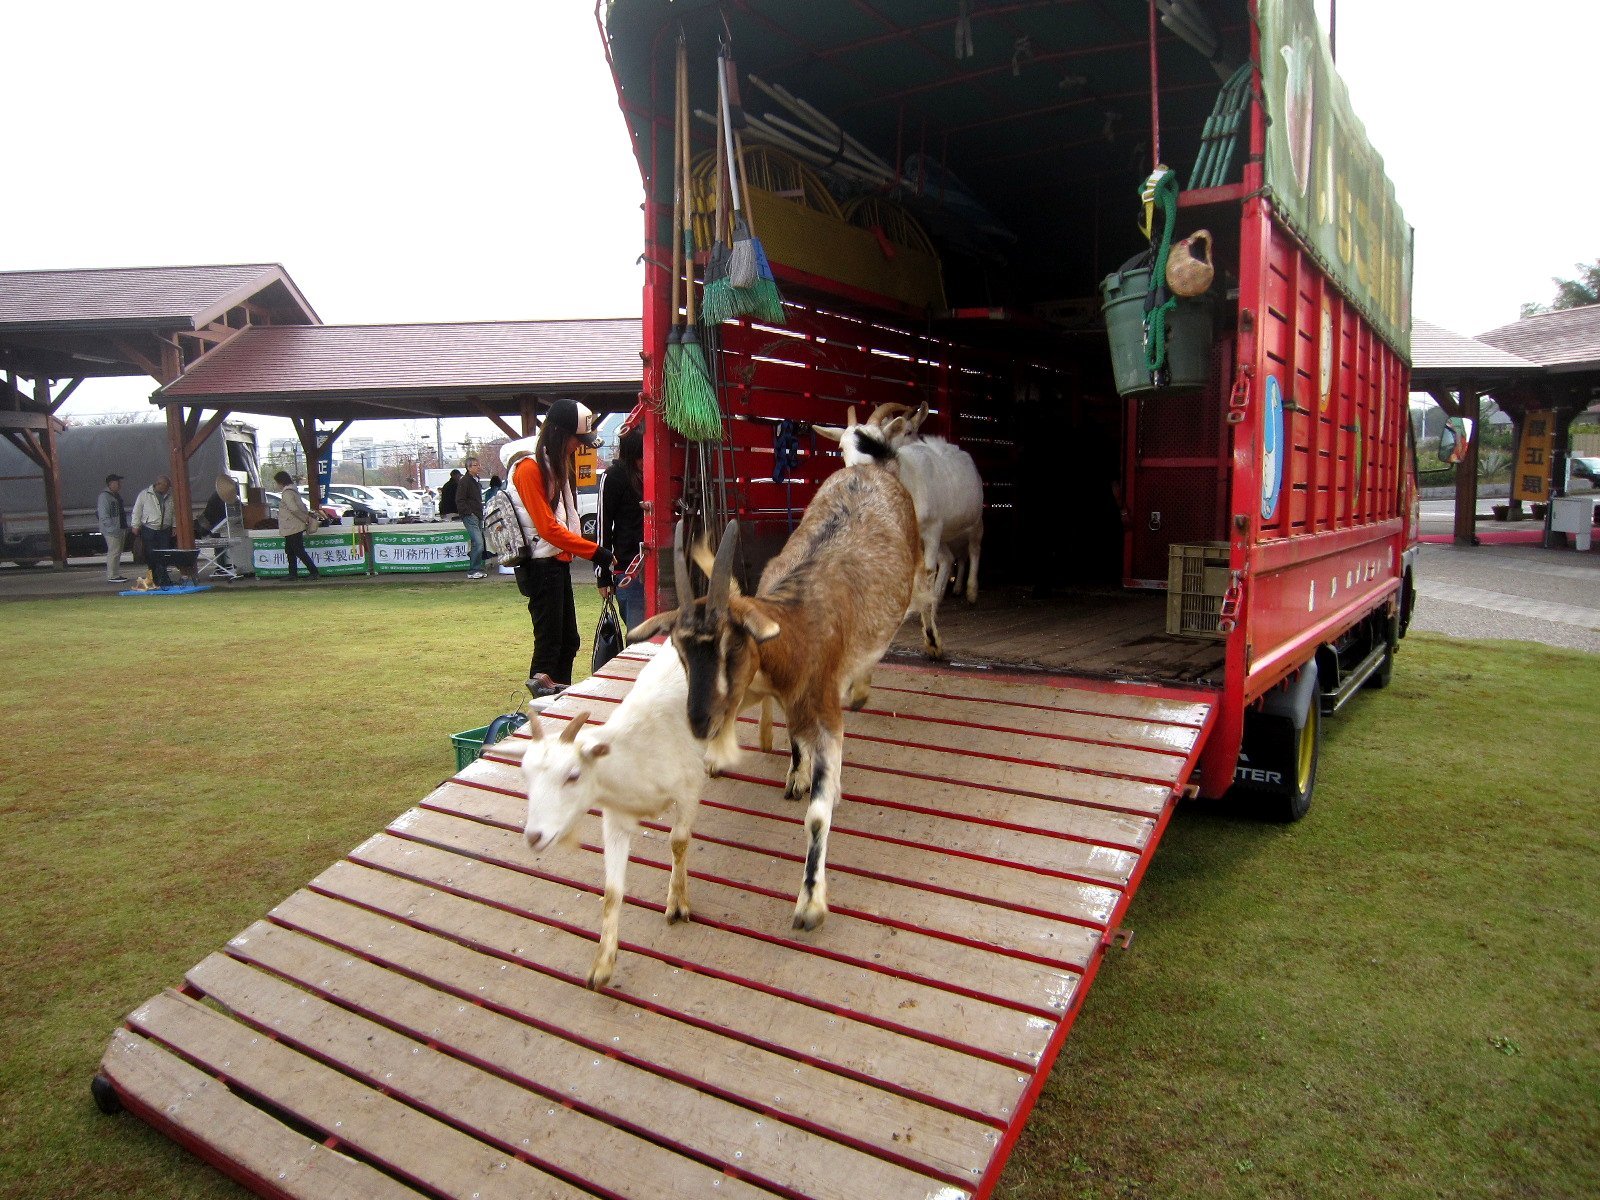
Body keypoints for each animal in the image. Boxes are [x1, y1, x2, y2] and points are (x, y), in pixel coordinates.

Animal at [496, 649, 704, 998]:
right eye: (524, 774)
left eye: (573, 775)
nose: (534, 836)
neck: (635, 752)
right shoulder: (616, 817)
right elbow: (612, 892)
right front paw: (603, 966)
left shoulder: (688, 791)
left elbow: (678, 842)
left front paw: (678, 902)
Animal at [630, 464, 921, 934]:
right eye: (678, 648)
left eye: (733, 645)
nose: (700, 722)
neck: (795, 625)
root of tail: (868, 466)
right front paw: (797, 774)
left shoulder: (825, 711)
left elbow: (818, 814)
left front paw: (810, 905)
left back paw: (862, 689)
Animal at [819, 409, 979, 662]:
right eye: (842, 447)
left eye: (879, 442)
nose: (857, 472)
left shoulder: (932, 529)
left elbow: (927, 572)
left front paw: (933, 642)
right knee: (947, 558)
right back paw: (936, 599)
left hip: (973, 521)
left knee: (973, 548)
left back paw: (970, 592)